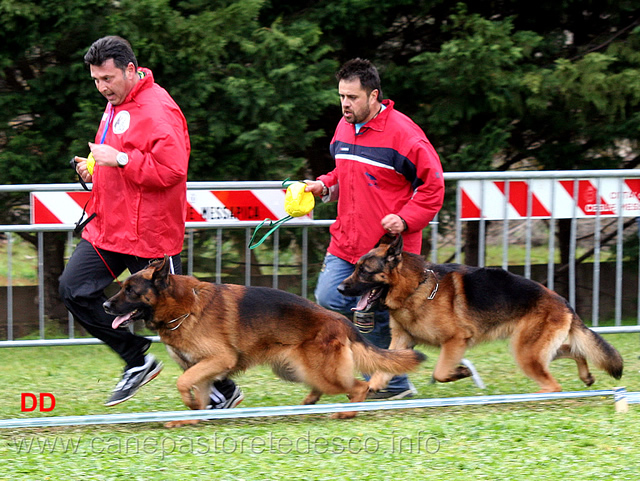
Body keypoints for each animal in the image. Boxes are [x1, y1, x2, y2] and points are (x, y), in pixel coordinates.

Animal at [104, 256, 424, 426]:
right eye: (123, 287)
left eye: (131, 290)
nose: (106, 305)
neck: (182, 307)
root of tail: (340, 320)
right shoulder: (202, 369)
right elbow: (200, 395)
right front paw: (192, 417)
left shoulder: (218, 360)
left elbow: (183, 383)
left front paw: (190, 406)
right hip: (294, 369)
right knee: (327, 387)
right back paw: (309, 403)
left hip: (318, 370)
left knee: (359, 387)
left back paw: (346, 412)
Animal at [338, 232, 624, 394]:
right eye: (356, 267)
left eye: (364, 271)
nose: (340, 288)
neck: (416, 287)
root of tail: (563, 302)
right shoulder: (402, 341)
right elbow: (383, 368)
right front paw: (372, 387)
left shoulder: (454, 342)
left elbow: (440, 372)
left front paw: (461, 372)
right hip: (533, 350)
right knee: (575, 350)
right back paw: (585, 376)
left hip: (526, 353)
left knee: (554, 384)